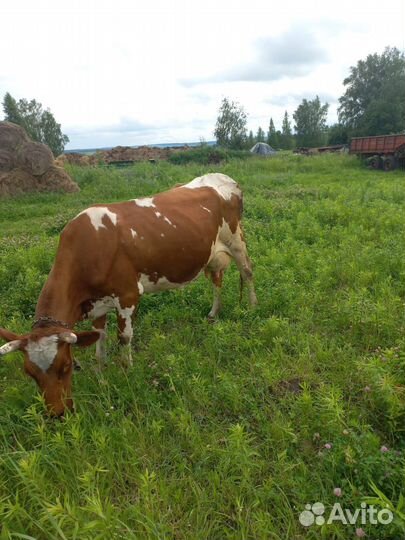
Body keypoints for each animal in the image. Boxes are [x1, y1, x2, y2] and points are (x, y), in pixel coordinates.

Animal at [0, 173, 258, 414]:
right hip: (212, 254)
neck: (88, 248)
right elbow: (99, 339)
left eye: (66, 365)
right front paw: (101, 375)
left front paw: (127, 375)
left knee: (247, 272)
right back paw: (214, 313)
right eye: (29, 373)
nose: (57, 413)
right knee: (217, 280)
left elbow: (123, 338)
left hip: (236, 240)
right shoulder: (97, 304)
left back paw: (252, 307)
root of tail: (220, 176)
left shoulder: (128, 295)